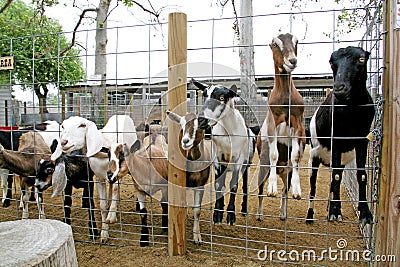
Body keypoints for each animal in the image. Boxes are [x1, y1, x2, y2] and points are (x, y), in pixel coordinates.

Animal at [166, 110, 211, 245]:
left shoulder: (200, 184)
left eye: (200, 125)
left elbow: (197, 210)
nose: (185, 141)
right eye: (181, 125)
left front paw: (197, 237)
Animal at [256, 33, 306, 221]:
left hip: (286, 172)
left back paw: (283, 213)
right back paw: (259, 214)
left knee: (285, 189)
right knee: (260, 190)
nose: (292, 60)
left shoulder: (298, 122)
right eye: (275, 44)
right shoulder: (273, 122)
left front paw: (297, 191)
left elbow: (296, 155)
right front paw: (272, 188)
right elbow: (274, 154)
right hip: (262, 167)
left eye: (296, 42)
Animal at [306, 46, 376, 226]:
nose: (339, 88)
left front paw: (365, 213)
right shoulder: (336, 140)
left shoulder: (362, 140)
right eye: (332, 62)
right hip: (314, 157)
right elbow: (336, 176)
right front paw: (336, 212)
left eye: (361, 59)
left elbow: (362, 175)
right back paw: (310, 215)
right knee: (314, 186)